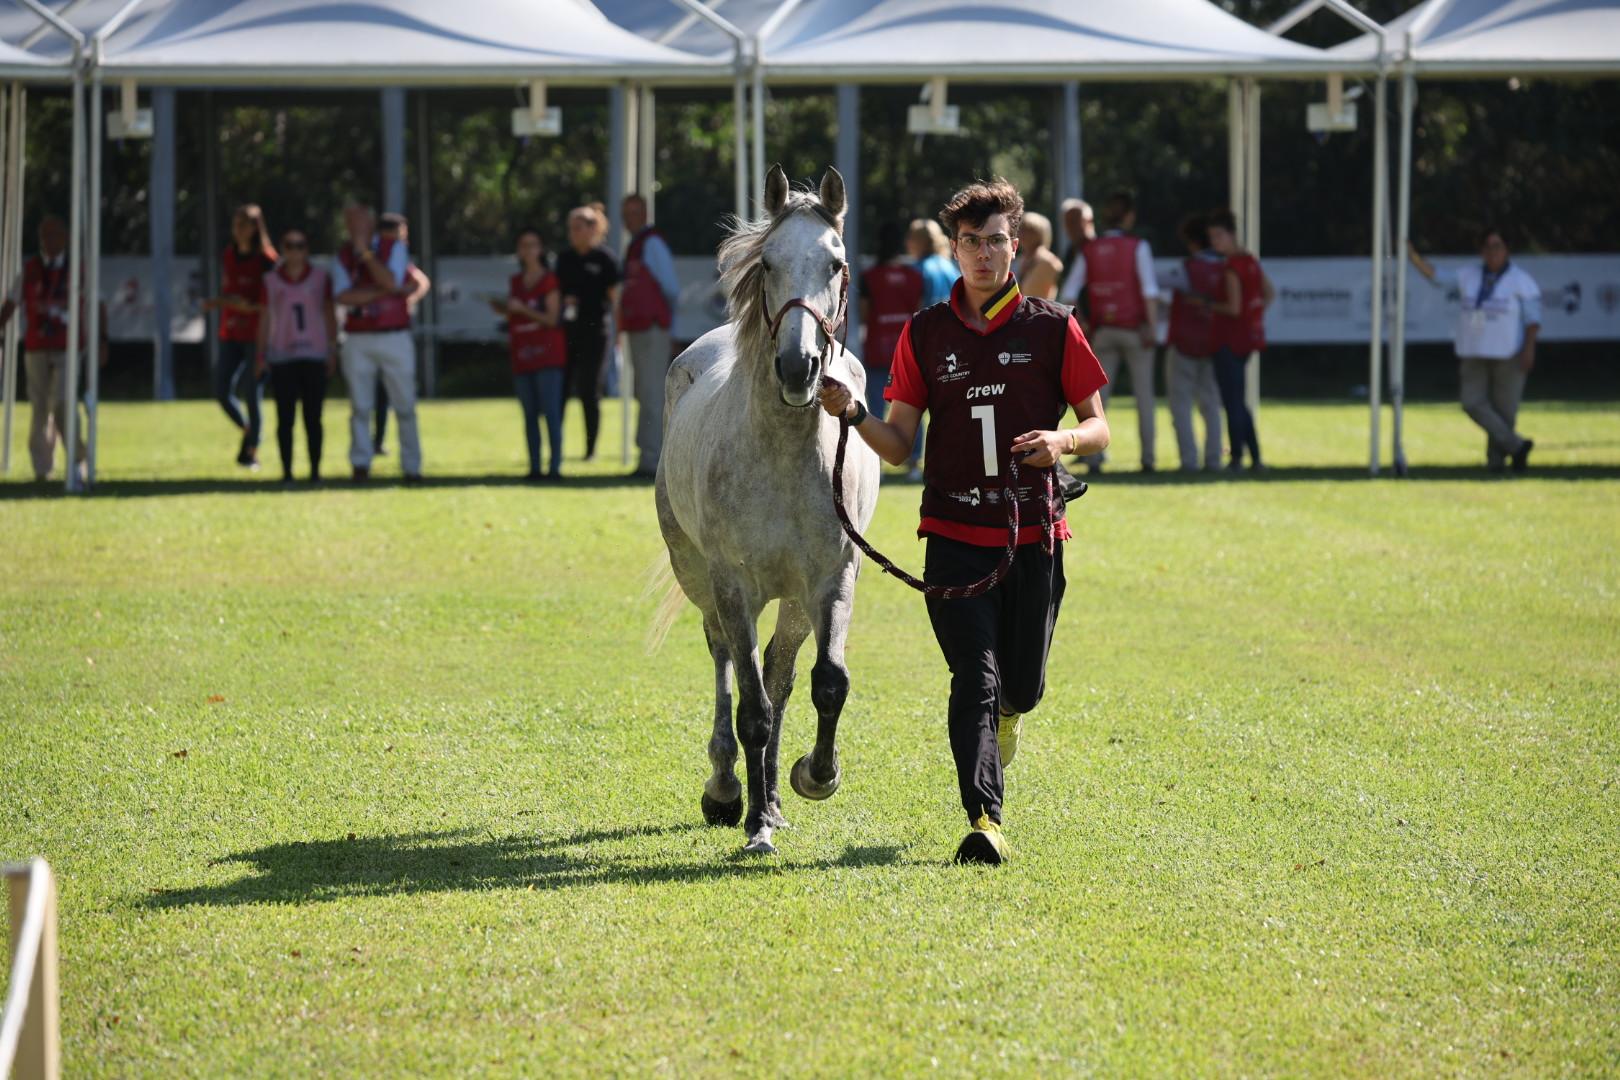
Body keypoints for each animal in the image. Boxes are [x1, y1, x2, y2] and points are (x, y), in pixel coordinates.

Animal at [654, 166, 881, 854]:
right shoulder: (734, 585)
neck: (781, 454)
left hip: (795, 599)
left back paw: (775, 797)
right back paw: (730, 789)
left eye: (836, 263)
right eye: (770, 262)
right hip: (703, 580)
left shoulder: (833, 579)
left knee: (781, 671)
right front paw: (753, 825)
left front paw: (814, 777)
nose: (797, 366)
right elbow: (751, 707)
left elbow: (827, 682)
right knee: (727, 661)